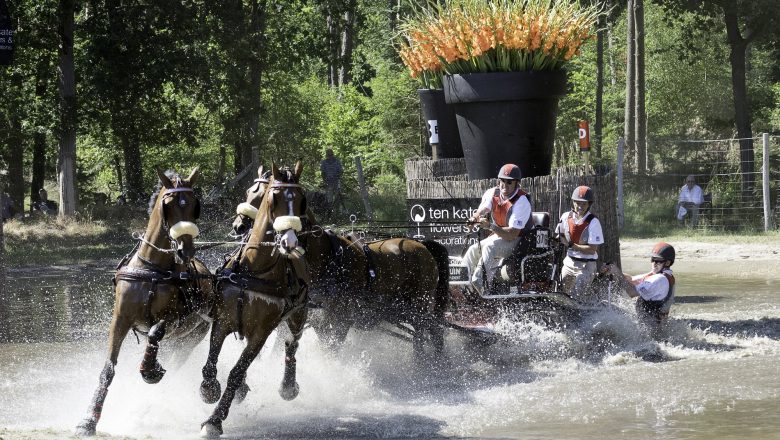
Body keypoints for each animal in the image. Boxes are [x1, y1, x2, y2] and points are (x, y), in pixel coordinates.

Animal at [76, 167, 213, 434]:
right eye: (168, 204)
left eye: (195, 205)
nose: (185, 250)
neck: (151, 270)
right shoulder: (120, 320)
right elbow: (108, 369)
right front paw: (88, 420)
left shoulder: (174, 319)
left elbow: (155, 330)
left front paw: (149, 370)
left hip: (190, 338)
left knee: (174, 362)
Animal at [200, 162, 310, 436]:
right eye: (273, 197)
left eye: (302, 200)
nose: (289, 240)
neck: (256, 269)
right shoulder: (223, 321)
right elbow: (211, 364)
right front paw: (209, 389)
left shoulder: (261, 333)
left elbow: (236, 372)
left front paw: (214, 420)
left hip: (298, 316)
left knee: (292, 345)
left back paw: (288, 385)